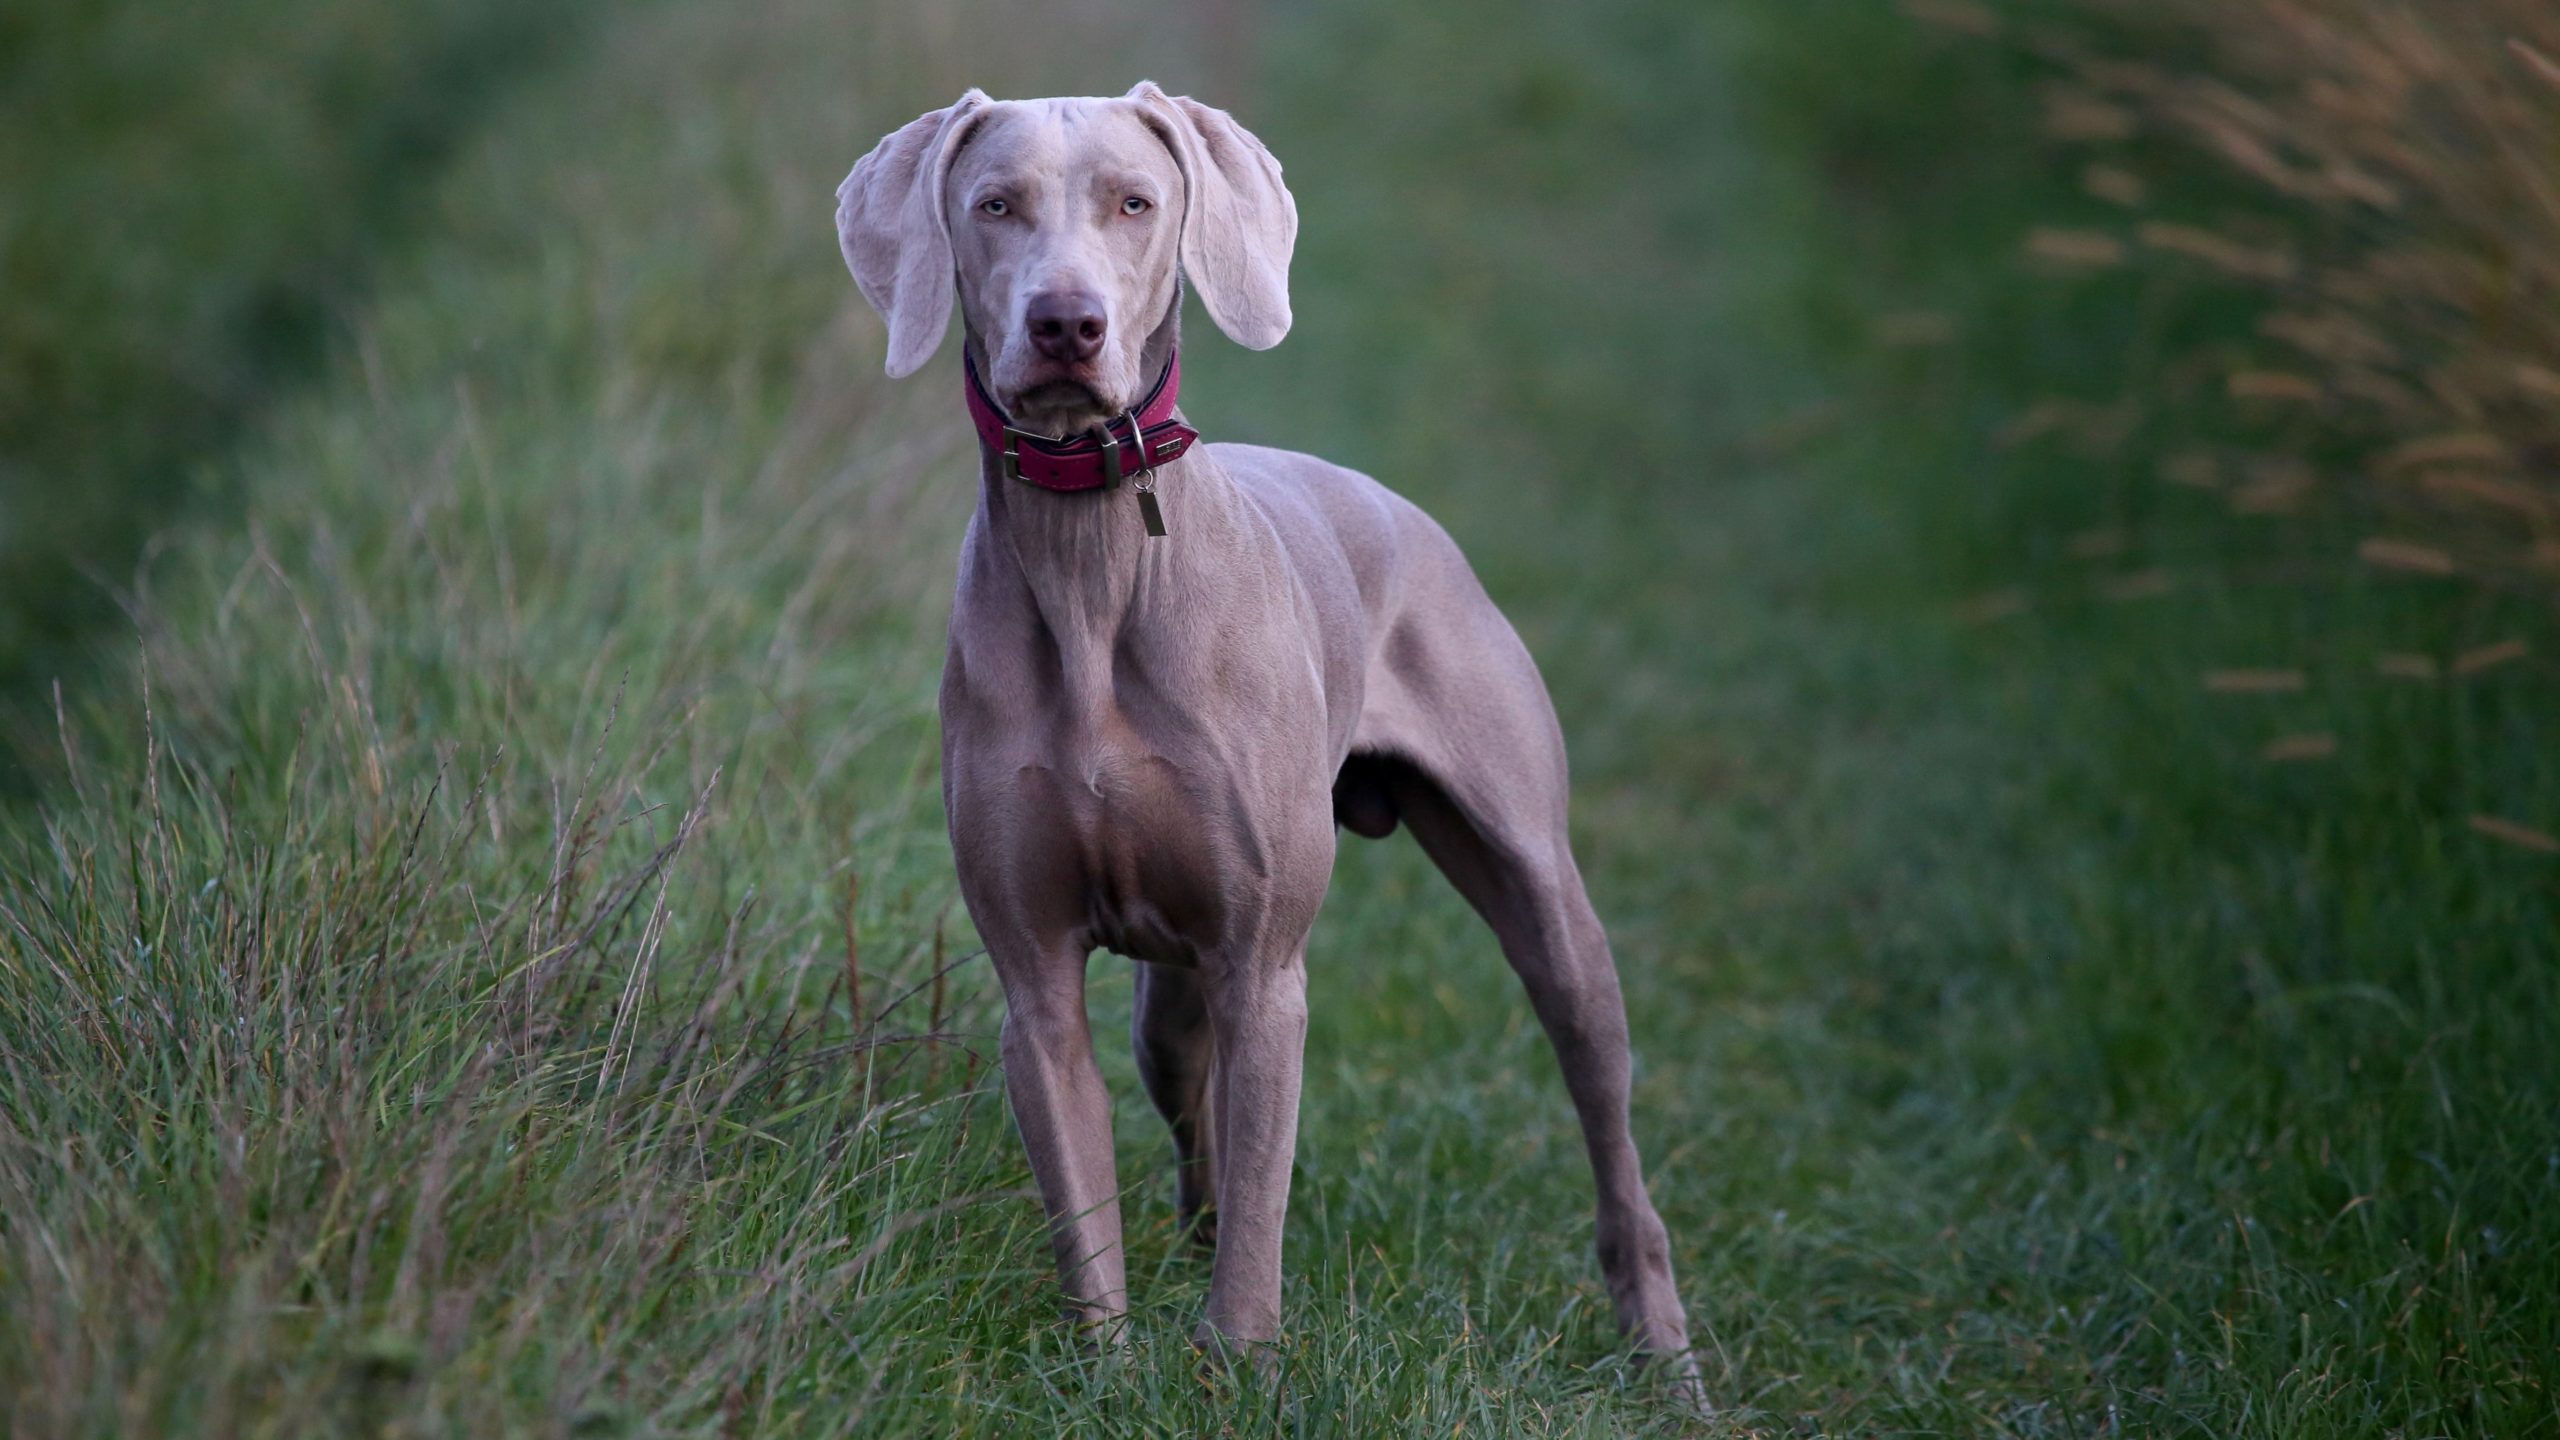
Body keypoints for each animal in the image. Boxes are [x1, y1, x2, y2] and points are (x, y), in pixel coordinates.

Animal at [834, 81, 1699, 1393]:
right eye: (993, 205)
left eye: (1135, 204)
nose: (1067, 324)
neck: (1094, 558)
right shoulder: (1038, 982)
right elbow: (1086, 1195)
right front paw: (1109, 1370)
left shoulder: (1263, 966)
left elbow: (1262, 1191)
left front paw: (1238, 1359)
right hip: (1169, 1001)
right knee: (1191, 1111)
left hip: (1543, 902)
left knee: (1603, 1111)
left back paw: (1659, 1341)